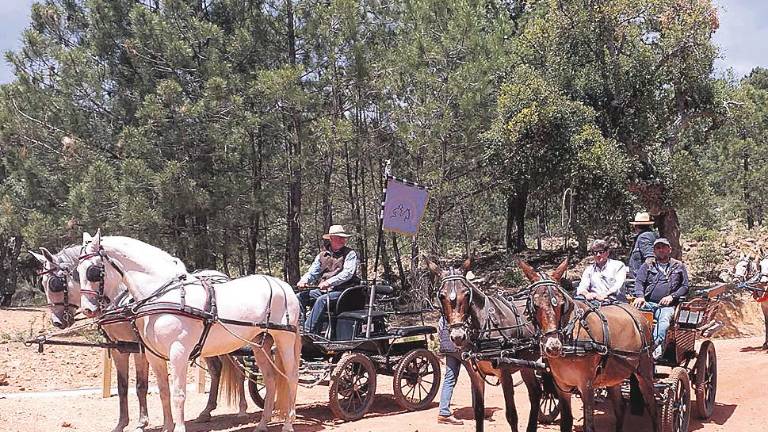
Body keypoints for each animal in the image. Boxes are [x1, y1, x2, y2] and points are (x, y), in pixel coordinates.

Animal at [29, 245, 246, 430]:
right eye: (43, 284)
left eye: (55, 284)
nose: (57, 322)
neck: (120, 300)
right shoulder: (119, 348)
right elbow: (123, 386)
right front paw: (121, 424)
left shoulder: (139, 348)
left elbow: (141, 385)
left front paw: (142, 422)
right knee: (217, 370)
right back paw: (207, 411)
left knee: (240, 370)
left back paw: (241, 409)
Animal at [73, 231, 298, 432]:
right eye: (77, 271)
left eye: (93, 271)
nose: (87, 309)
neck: (161, 296)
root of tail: (282, 285)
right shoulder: (153, 355)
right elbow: (164, 392)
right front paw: (166, 427)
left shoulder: (178, 353)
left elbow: (178, 394)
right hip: (260, 344)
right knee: (270, 379)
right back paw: (262, 424)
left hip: (284, 340)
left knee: (291, 376)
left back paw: (288, 424)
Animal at [426, 256, 564, 432]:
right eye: (442, 296)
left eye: (466, 294)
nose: (458, 336)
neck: (484, 325)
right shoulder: (476, 375)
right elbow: (478, 411)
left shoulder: (504, 373)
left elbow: (511, 415)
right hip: (527, 364)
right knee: (535, 393)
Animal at [520, 258, 656, 430]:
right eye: (535, 305)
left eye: (561, 304)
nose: (553, 346)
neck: (570, 340)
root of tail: (639, 314)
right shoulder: (562, 386)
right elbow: (566, 422)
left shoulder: (587, 386)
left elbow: (589, 425)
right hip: (614, 375)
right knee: (620, 408)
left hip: (644, 371)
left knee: (652, 406)